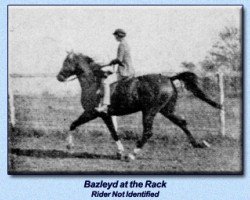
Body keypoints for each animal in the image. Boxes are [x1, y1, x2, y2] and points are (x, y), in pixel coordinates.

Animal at [56, 51, 221, 161]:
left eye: (66, 62)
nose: (59, 77)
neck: (92, 84)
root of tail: (169, 78)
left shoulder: (94, 113)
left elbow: (73, 124)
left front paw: (69, 146)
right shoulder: (106, 115)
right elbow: (113, 132)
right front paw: (119, 152)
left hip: (149, 111)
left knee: (148, 132)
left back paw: (132, 155)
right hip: (167, 110)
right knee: (182, 122)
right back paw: (199, 144)